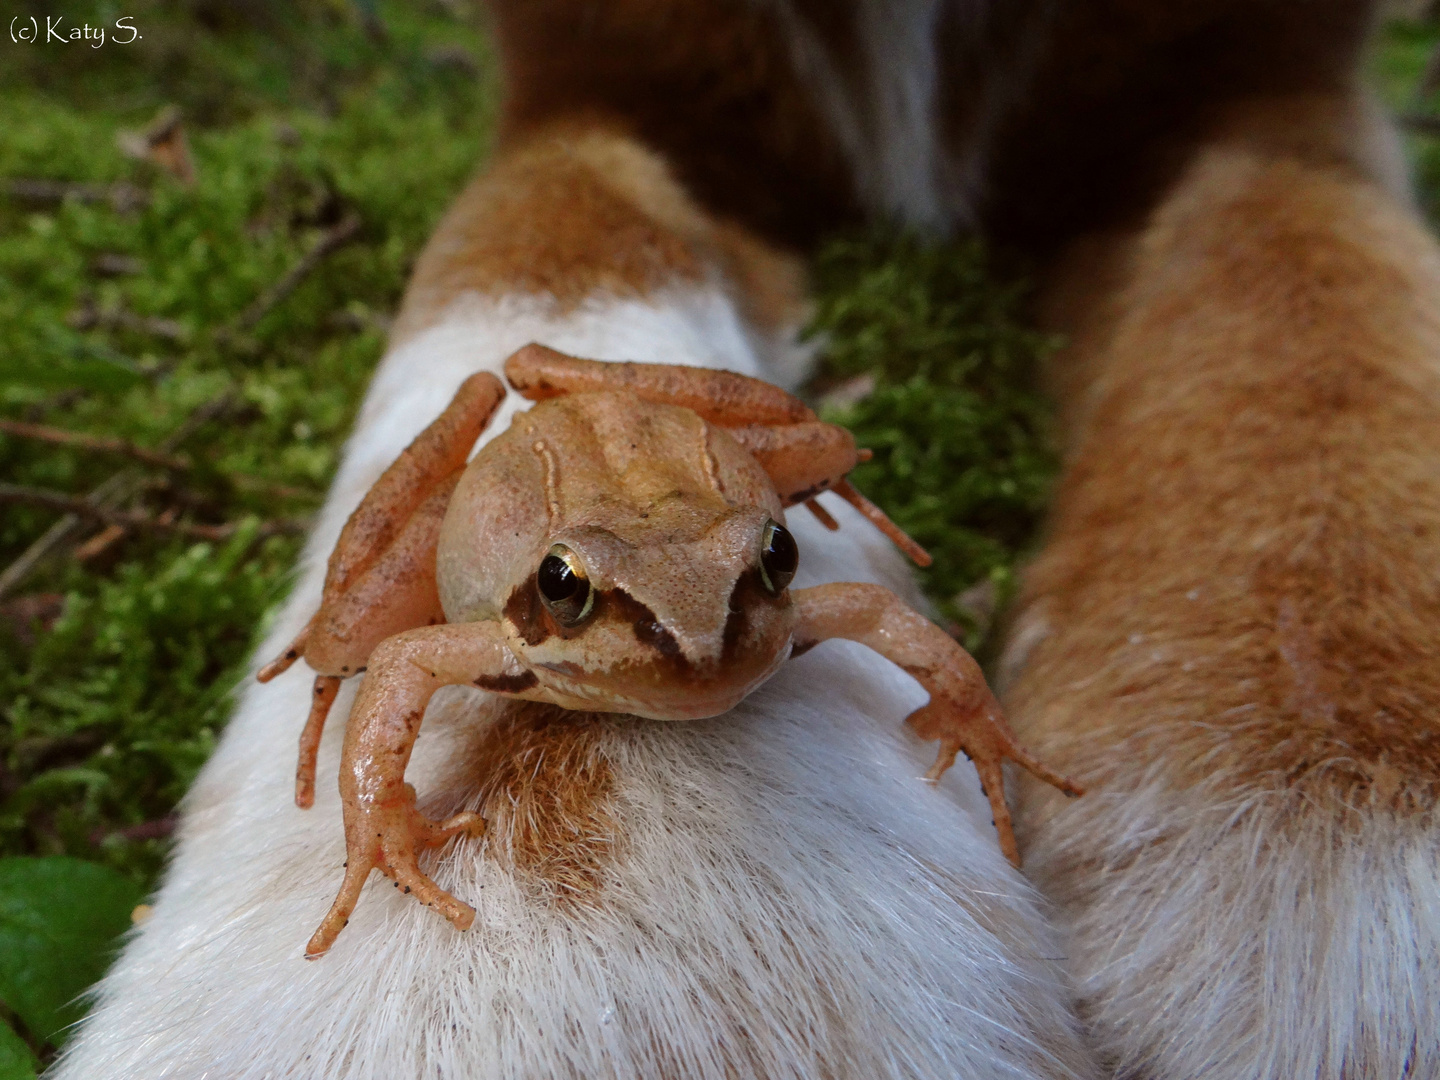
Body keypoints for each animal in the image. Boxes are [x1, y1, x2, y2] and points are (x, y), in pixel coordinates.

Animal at [56, 2, 1440, 1080]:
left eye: (769, 562)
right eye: (562, 586)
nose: (713, 656)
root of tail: (565, 400)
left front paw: (982, 738)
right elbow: (395, 693)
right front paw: (388, 854)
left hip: (728, 410)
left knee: (799, 430)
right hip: (425, 507)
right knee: (375, 584)